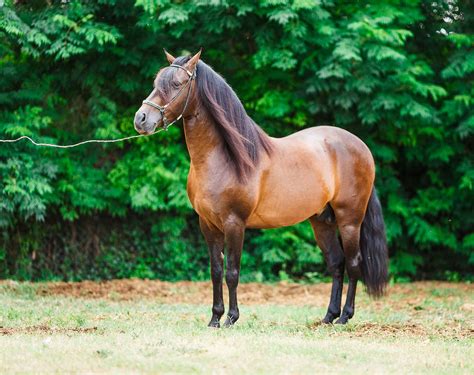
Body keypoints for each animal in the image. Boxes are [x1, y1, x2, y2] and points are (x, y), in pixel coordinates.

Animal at [133, 50, 388, 326]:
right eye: (156, 82)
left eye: (177, 84)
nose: (141, 119)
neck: (223, 159)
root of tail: (360, 146)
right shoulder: (208, 224)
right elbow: (216, 271)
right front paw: (215, 319)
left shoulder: (235, 223)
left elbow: (232, 272)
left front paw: (231, 319)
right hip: (322, 221)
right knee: (336, 263)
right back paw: (329, 316)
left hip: (349, 220)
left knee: (353, 263)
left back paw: (344, 317)